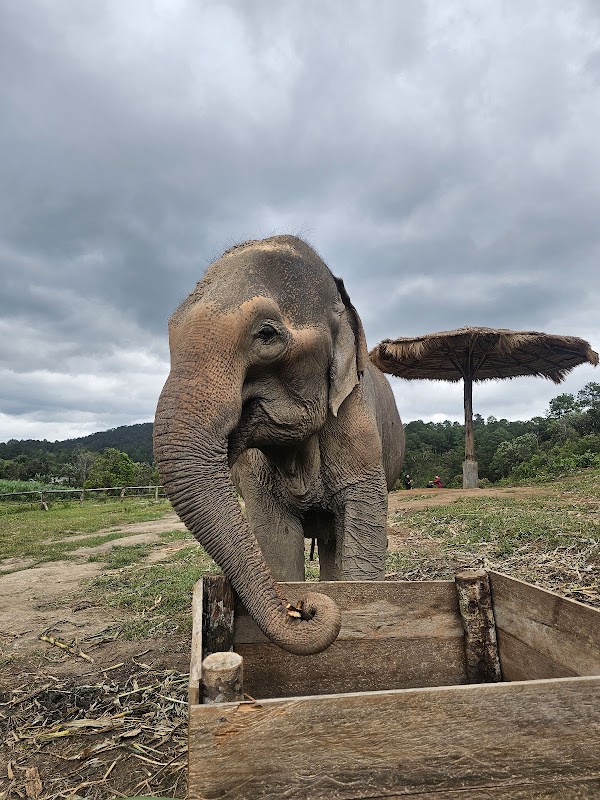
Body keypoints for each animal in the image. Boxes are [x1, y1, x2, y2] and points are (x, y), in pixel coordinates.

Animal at [154, 235, 404, 656]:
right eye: (170, 333)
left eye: (267, 334)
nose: (303, 609)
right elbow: (277, 546)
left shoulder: (357, 423)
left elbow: (362, 536)